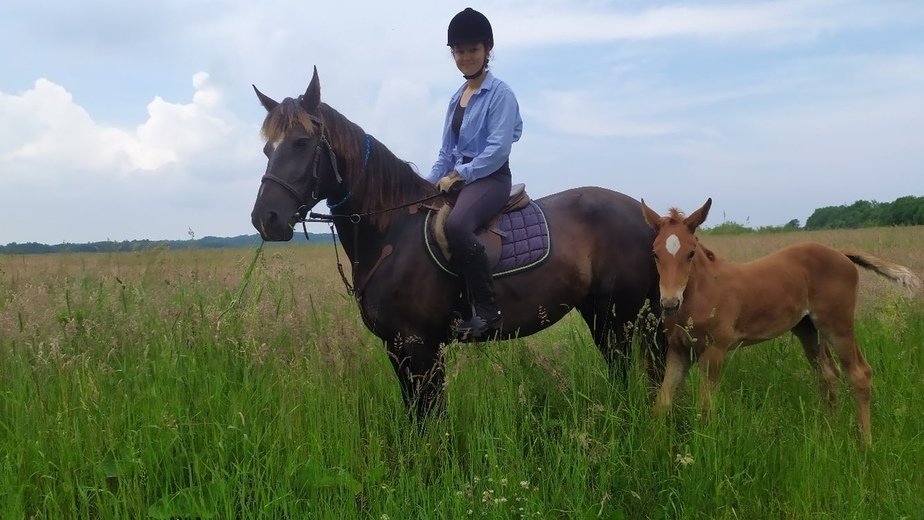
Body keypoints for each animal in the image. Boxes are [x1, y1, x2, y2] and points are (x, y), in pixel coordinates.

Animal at [249, 68, 660, 418]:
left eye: (302, 143)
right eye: (268, 150)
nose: (265, 218)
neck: (392, 235)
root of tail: (646, 214)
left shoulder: (420, 346)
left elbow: (431, 419)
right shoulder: (396, 347)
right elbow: (416, 418)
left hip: (622, 315)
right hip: (600, 314)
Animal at [640, 197, 920, 444]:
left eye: (690, 253)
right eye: (654, 254)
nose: (670, 303)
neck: (703, 292)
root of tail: (841, 254)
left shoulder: (715, 351)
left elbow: (705, 408)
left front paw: (703, 451)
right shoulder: (679, 350)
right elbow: (661, 403)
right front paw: (653, 447)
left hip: (837, 324)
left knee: (859, 374)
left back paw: (864, 444)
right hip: (809, 330)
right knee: (829, 375)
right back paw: (829, 432)